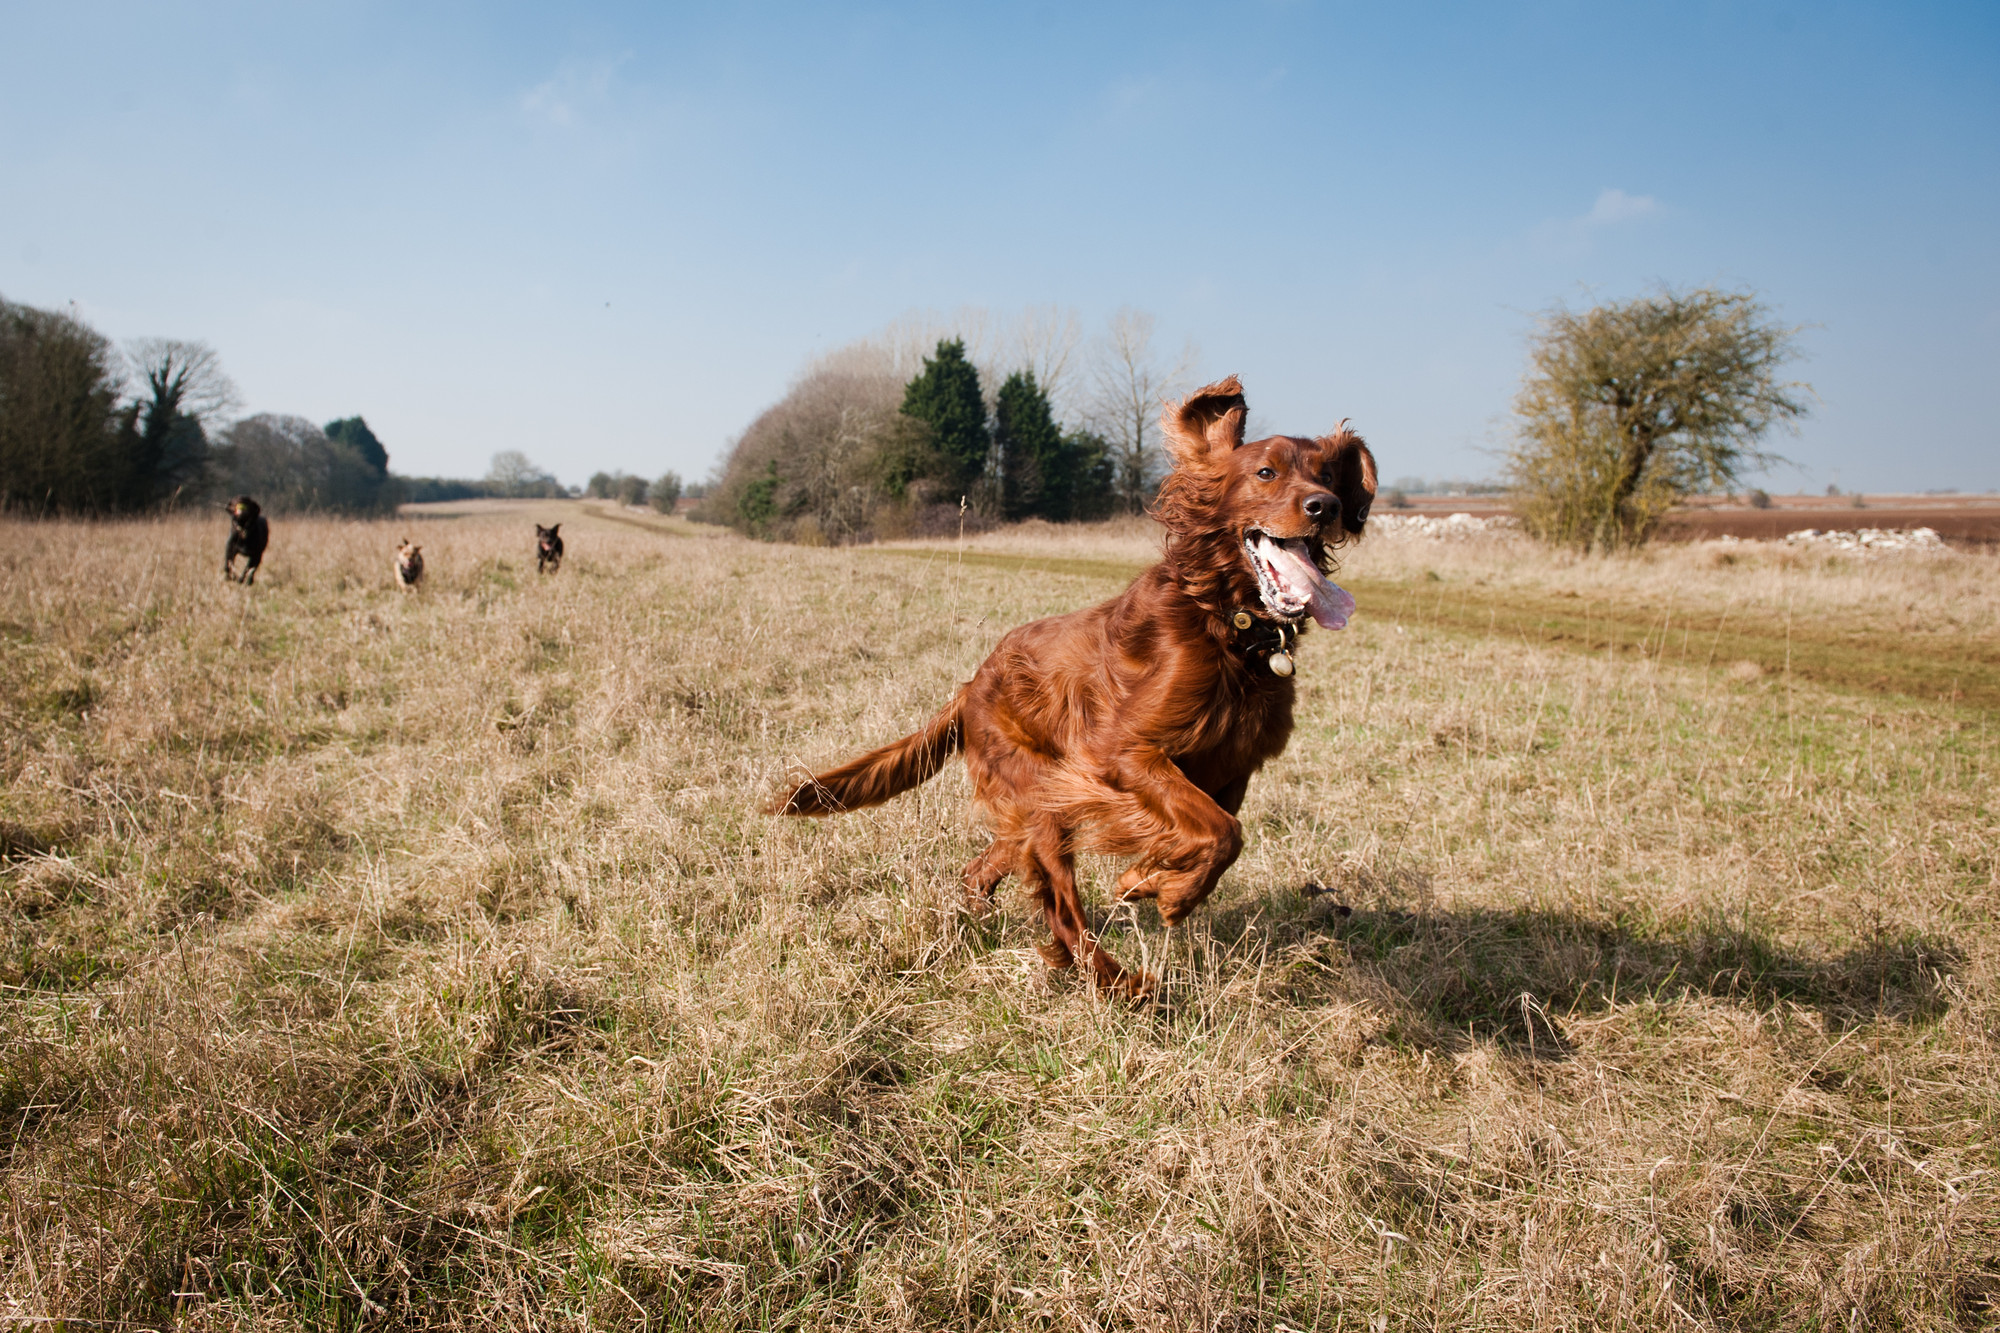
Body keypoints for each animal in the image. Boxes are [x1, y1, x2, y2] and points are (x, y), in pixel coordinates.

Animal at [764, 378, 1376, 992]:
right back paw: (1122, 985)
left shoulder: (1232, 769)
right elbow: (1222, 832)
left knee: (987, 865)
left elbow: (1220, 832)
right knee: (1060, 905)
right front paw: (1167, 891)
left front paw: (1149, 877)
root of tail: (971, 686)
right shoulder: (1122, 754)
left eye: (1326, 475)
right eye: (1266, 473)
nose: (1326, 507)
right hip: (1042, 791)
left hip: (1035, 806)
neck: (1224, 621)